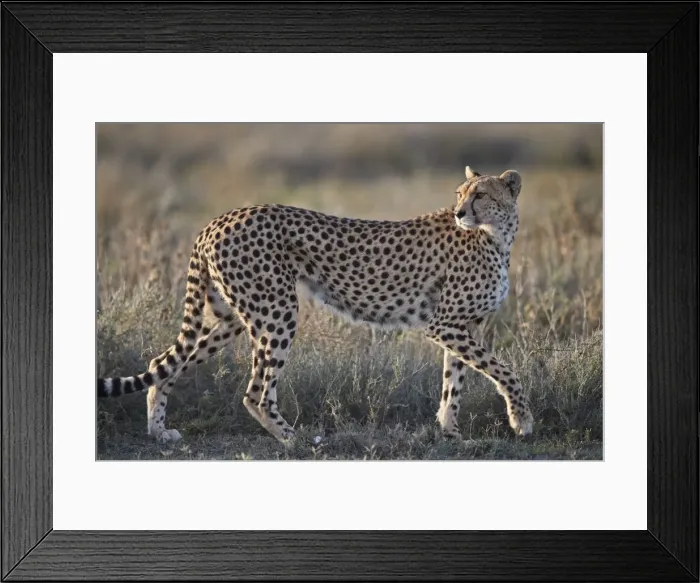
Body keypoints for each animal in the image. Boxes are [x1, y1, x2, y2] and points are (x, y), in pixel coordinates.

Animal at [97, 166, 534, 444]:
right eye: (460, 195)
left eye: (480, 195)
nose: (460, 213)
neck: (496, 235)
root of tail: (219, 219)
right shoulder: (444, 324)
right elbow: (504, 370)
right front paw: (522, 420)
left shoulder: (464, 325)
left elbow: (453, 382)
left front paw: (451, 432)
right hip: (277, 311)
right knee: (255, 391)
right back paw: (296, 440)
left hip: (231, 315)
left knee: (162, 364)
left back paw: (158, 432)